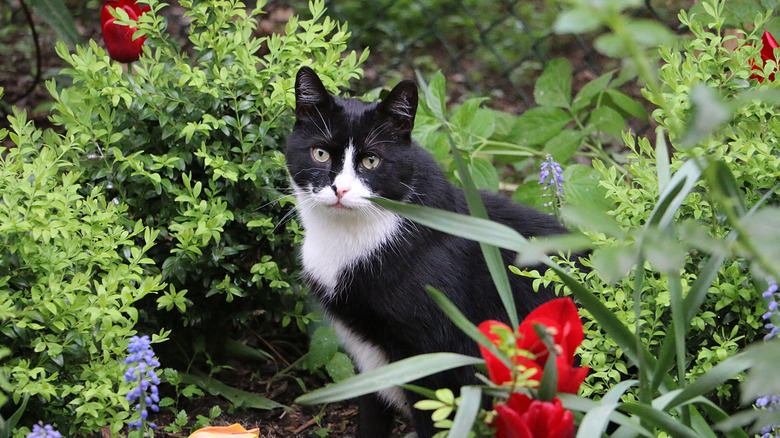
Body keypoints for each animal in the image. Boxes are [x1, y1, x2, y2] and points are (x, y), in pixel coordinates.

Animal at [286, 66, 568, 438]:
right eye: (320, 153)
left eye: (371, 160)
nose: (340, 189)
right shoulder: (368, 353)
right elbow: (371, 412)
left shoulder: (436, 355)